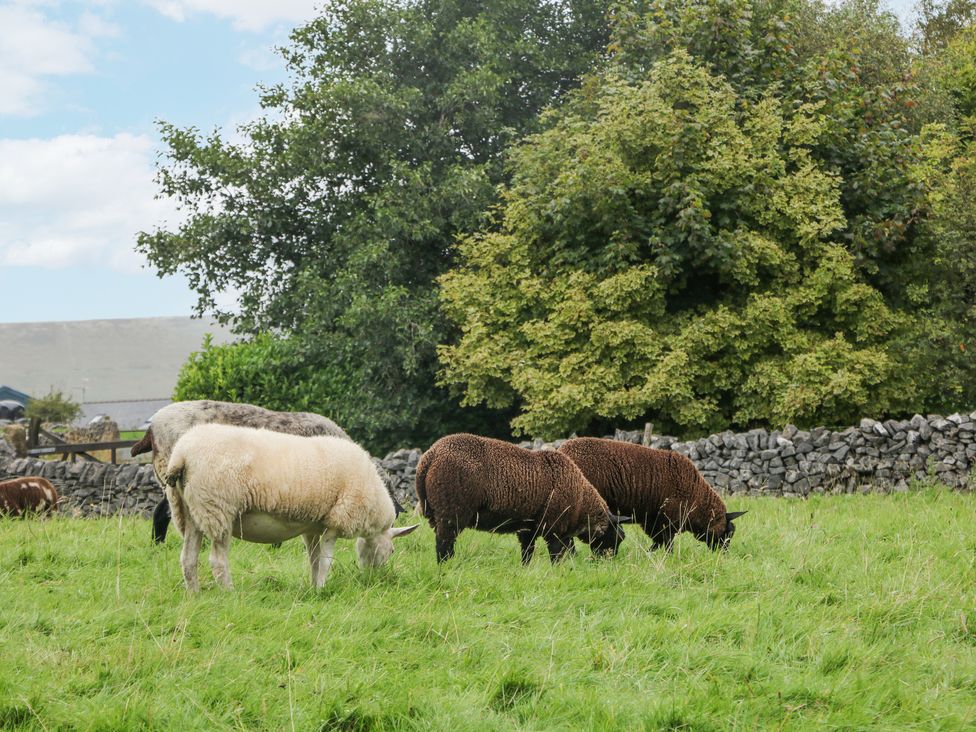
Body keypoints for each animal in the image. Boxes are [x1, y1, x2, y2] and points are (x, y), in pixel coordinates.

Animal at [167, 426, 416, 592]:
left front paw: (314, 588)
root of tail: (181, 454)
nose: (374, 578)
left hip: (189, 510)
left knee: (188, 558)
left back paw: (195, 595)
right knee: (217, 561)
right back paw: (229, 593)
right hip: (218, 508)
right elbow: (326, 561)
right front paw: (322, 587)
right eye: (392, 551)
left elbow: (314, 560)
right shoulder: (336, 521)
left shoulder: (313, 527)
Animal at [414, 434, 632, 568]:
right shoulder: (554, 527)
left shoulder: (528, 528)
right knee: (444, 545)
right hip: (451, 511)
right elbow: (556, 553)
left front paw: (525, 570)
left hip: (437, 513)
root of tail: (430, 456)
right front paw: (557, 571)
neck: (581, 501)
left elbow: (528, 552)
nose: (607, 564)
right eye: (616, 538)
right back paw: (448, 567)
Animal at [556, 438, 748, 552]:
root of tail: (564, 450)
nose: (724, 554)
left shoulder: (652, 520)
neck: (697, 498)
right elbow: (667, 542)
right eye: (728, 533)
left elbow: (659, 541)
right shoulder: (666, 520)